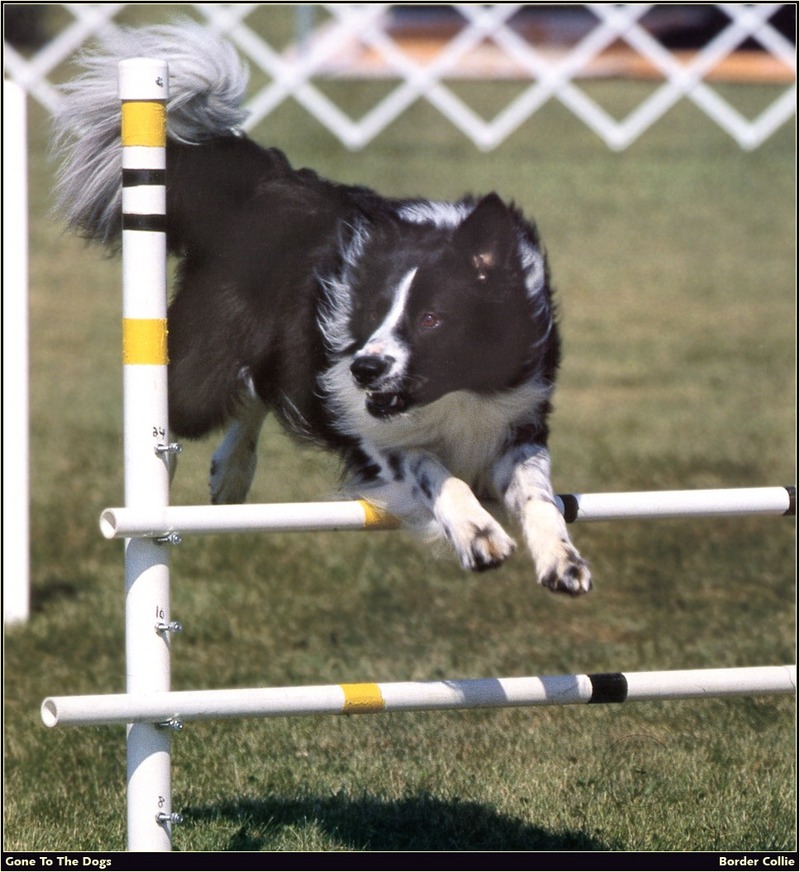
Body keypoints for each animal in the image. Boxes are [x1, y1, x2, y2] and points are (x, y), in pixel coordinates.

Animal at [56, 22, 592, 592]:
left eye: (432, 318)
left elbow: (539, 495)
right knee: (190, 402)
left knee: (262, 387)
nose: (364, 368)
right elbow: (431, 468)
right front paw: (478, 533)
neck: (456, 394)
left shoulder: (517, 416)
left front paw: (562, 560)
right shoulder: (368, 426)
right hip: (209, 357)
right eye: (371, 313)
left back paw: (230, 472)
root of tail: (268, 182)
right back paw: (155, 499)